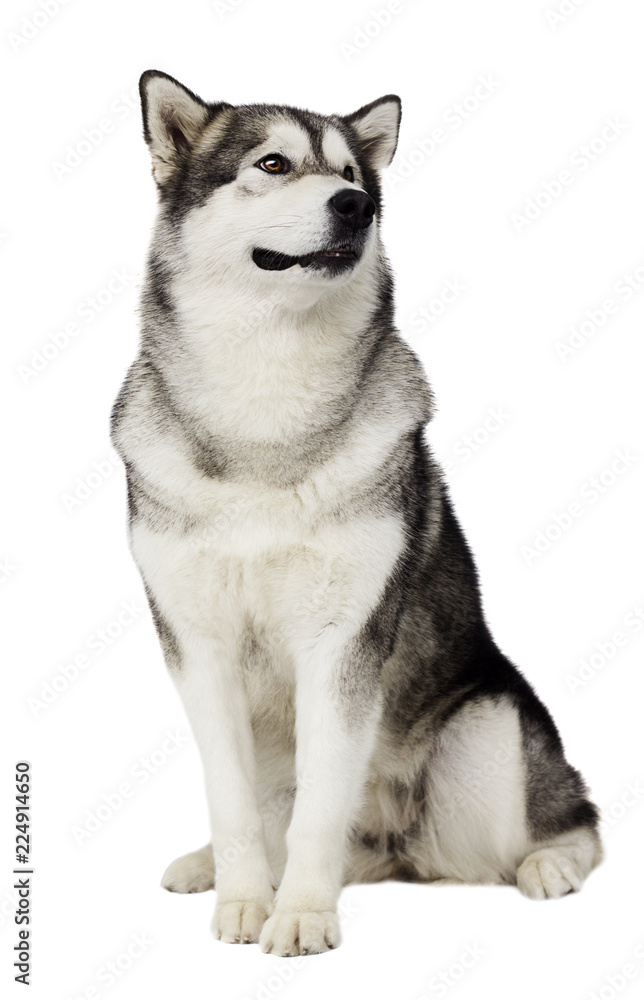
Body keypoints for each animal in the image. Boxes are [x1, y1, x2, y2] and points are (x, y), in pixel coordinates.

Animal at [112, 70, 604, 960]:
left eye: (351, 173)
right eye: (274, 163)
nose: (356, 206)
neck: (265, 415)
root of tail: (398, 850)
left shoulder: (343, 641)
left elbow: (319, 808)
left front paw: (303, 914)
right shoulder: (196, 647)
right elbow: (233, 802)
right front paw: (245, 899)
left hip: (490, 739)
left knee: (570, 816)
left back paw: (550, 864)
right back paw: (210, 865)